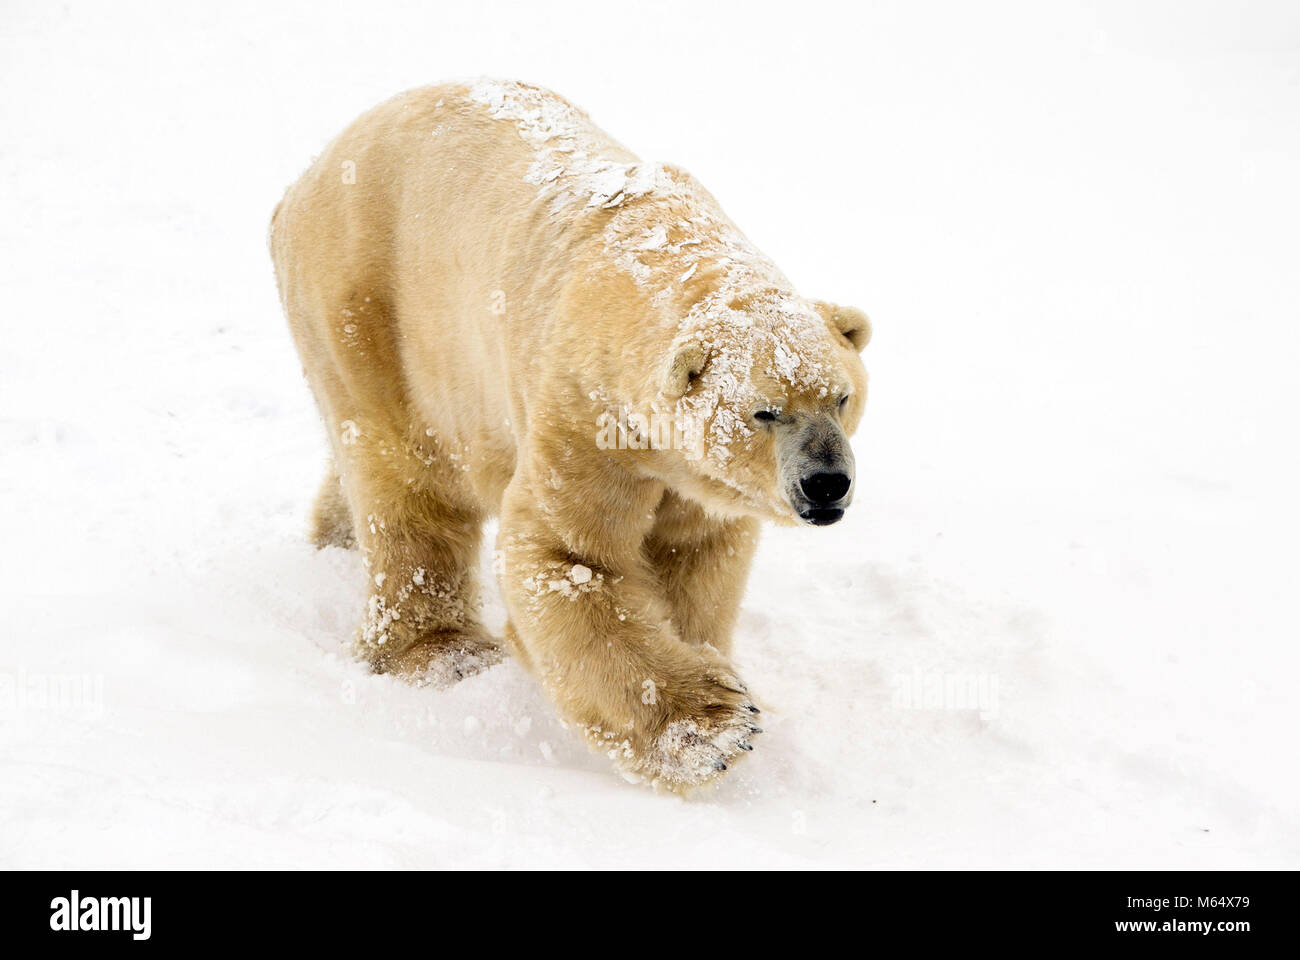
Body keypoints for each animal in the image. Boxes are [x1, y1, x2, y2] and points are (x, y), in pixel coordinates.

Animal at [269, 80, 868, 785]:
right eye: (766, 411)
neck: (648, 255)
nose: (827, 483)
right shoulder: (584, 415)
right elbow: (572, 558)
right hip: (367, 311)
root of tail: (303, 180)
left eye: (842, 398)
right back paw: (443, 652)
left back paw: (334, 539)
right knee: (405, 479)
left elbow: (693, 556)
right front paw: (714, 728)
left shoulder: (688, 470)